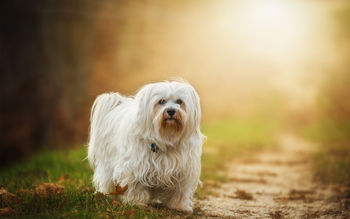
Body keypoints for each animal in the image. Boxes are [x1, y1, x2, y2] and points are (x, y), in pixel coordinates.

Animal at [87, 80, 205, 212]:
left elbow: (179, 190)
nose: (171, 111)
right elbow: (136, 186)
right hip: (108, 163)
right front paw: (136, 203)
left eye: (179, 101)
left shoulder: (183, 170)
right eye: (161, 101)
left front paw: (179, 206)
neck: (166, 137)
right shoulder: (136, 167)